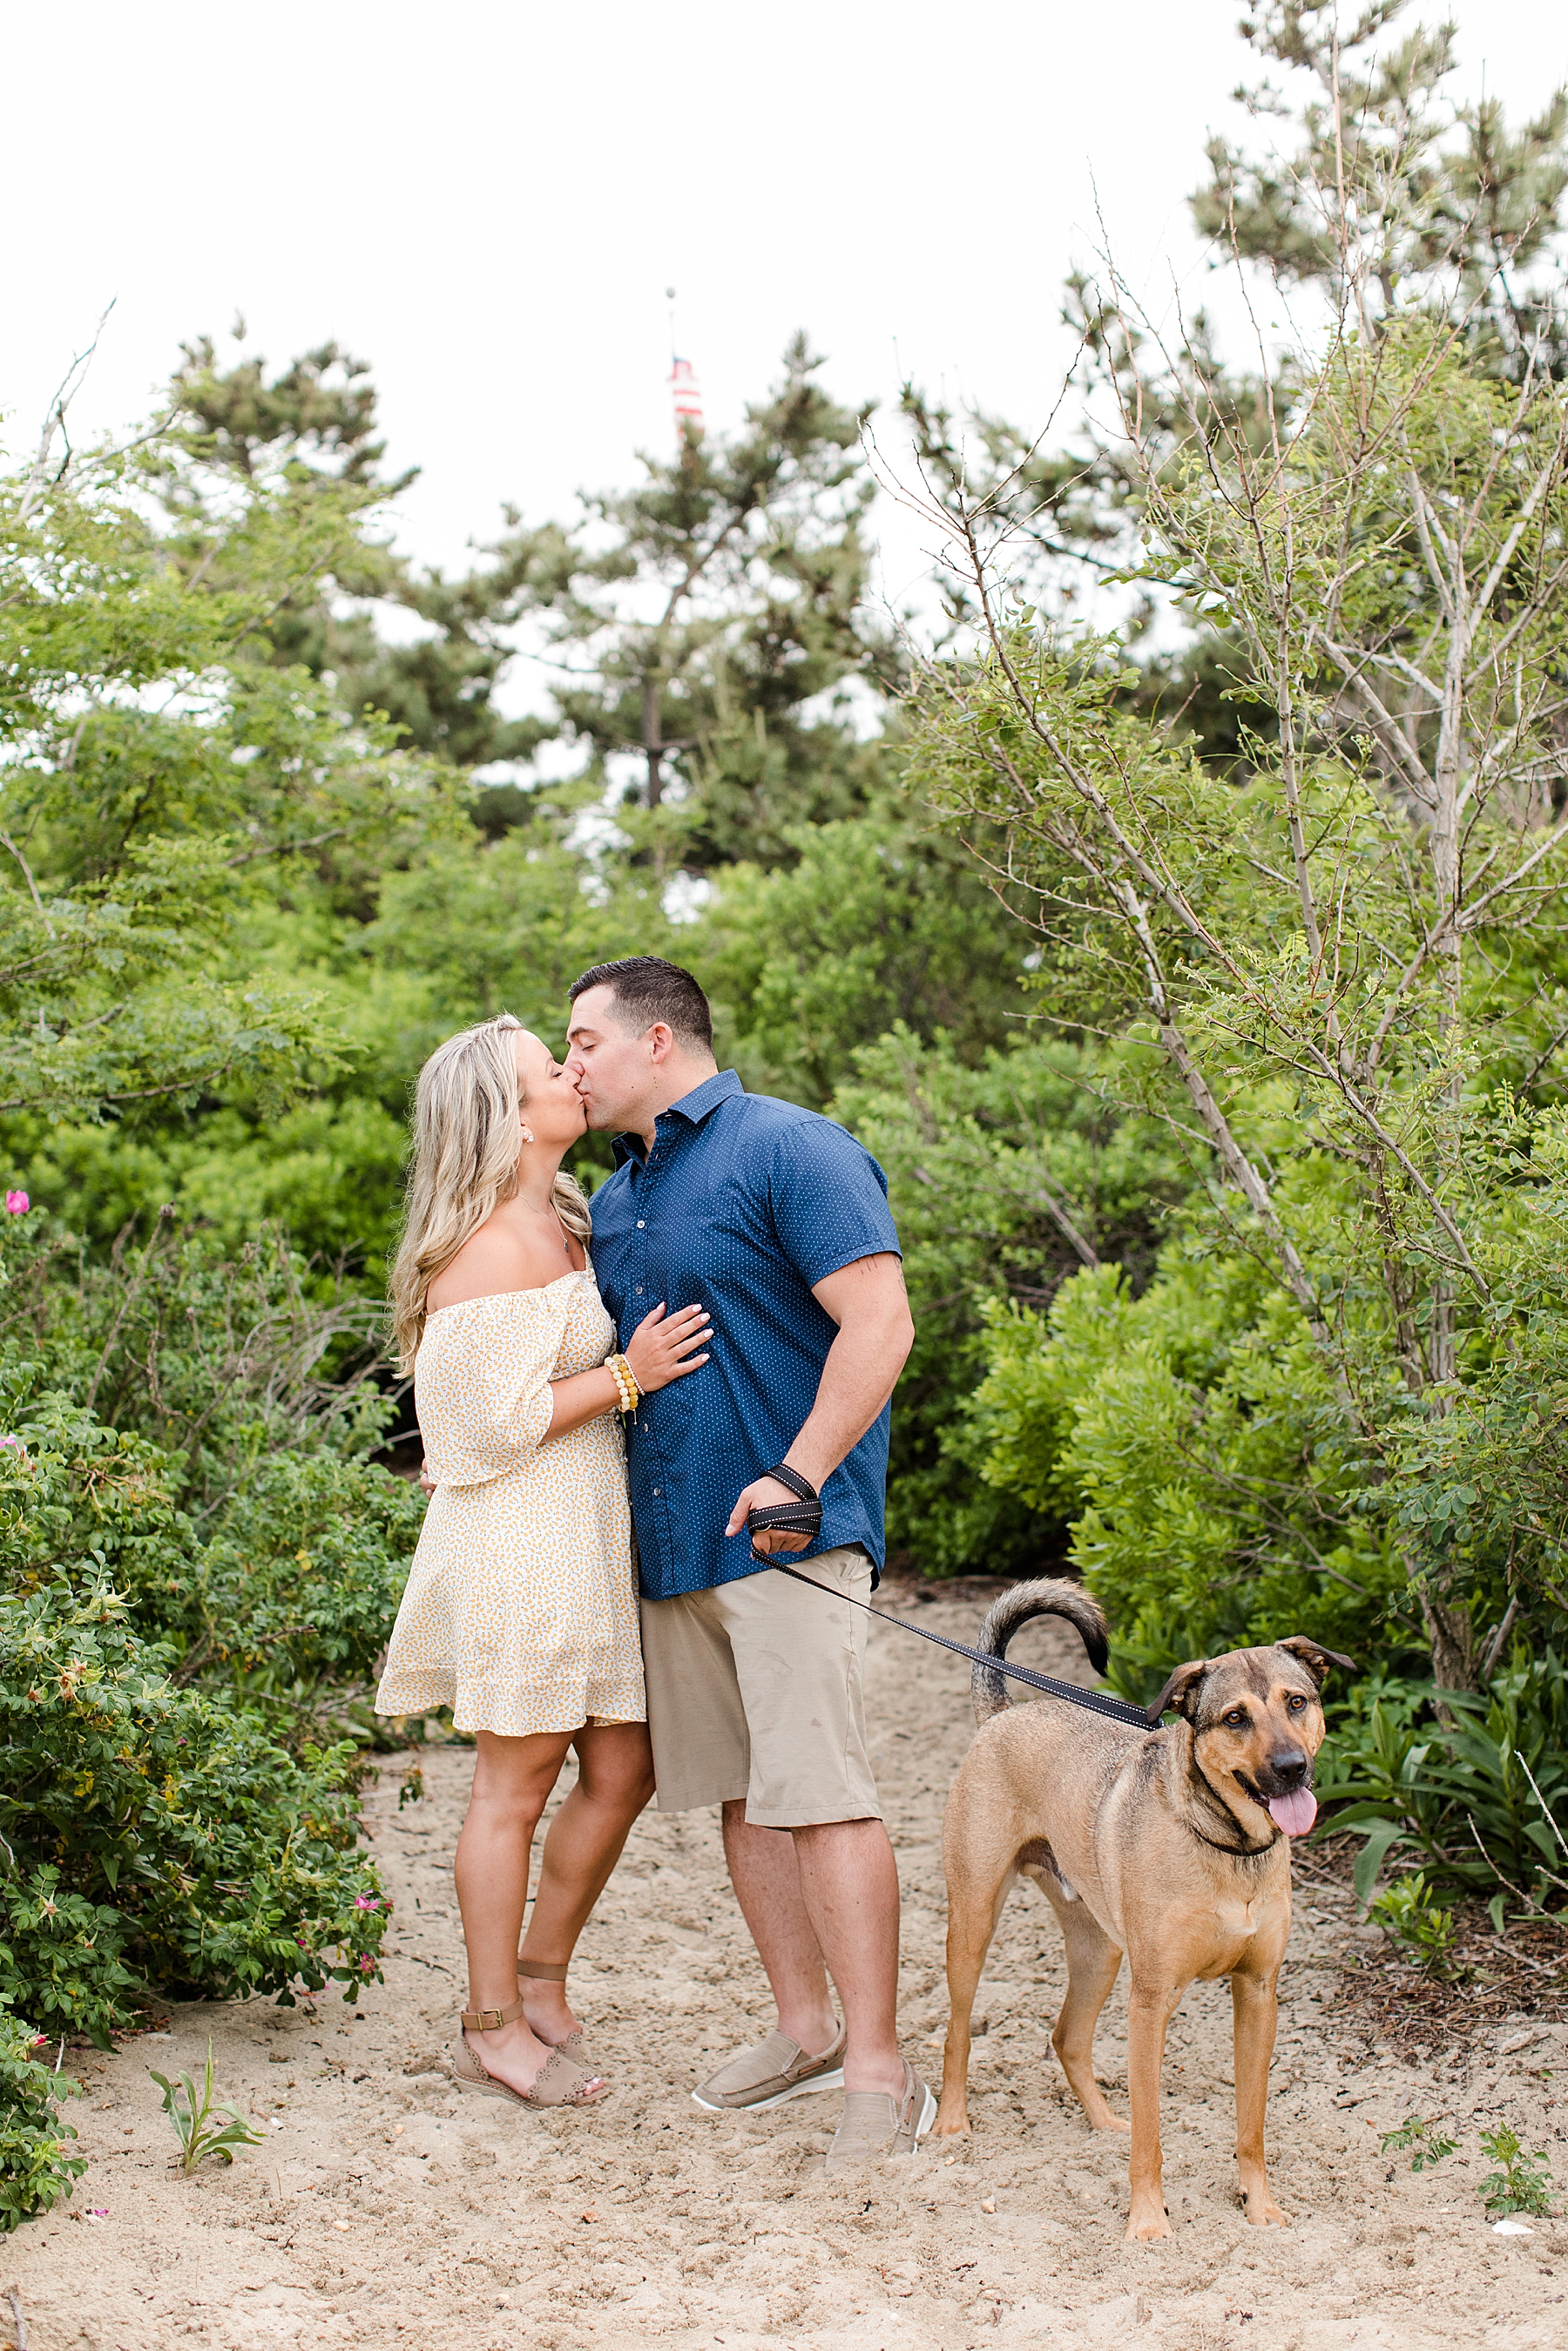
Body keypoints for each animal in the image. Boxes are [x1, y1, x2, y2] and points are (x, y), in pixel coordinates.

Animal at [930, 1579, 1354, 2238]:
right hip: (974, 1922)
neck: (1228, 1846)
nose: (1292, 1769)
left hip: (1099, 1950)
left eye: (1296, 1702)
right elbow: (1152, 2134)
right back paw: (953, 2123)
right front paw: (1148, 2222)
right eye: (1235, 1718)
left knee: (1067, 2038)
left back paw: (1104, 2123)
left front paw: (1260, 2206)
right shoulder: (1151, 2002)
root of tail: (1007, 1710)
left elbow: (1251, 2124)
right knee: (957, 2031)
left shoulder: (1258, 1992)